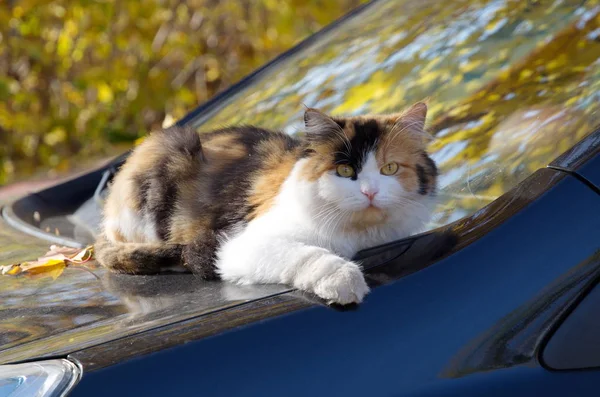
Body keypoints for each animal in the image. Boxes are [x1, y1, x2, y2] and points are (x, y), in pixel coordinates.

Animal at [96, 102, 438, 304]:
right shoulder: (241, 245)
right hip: (171, 152)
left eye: (389, 168)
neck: (360, 236)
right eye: (344, 171)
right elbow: (308, 255)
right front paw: (344, 278)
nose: (369, 192)